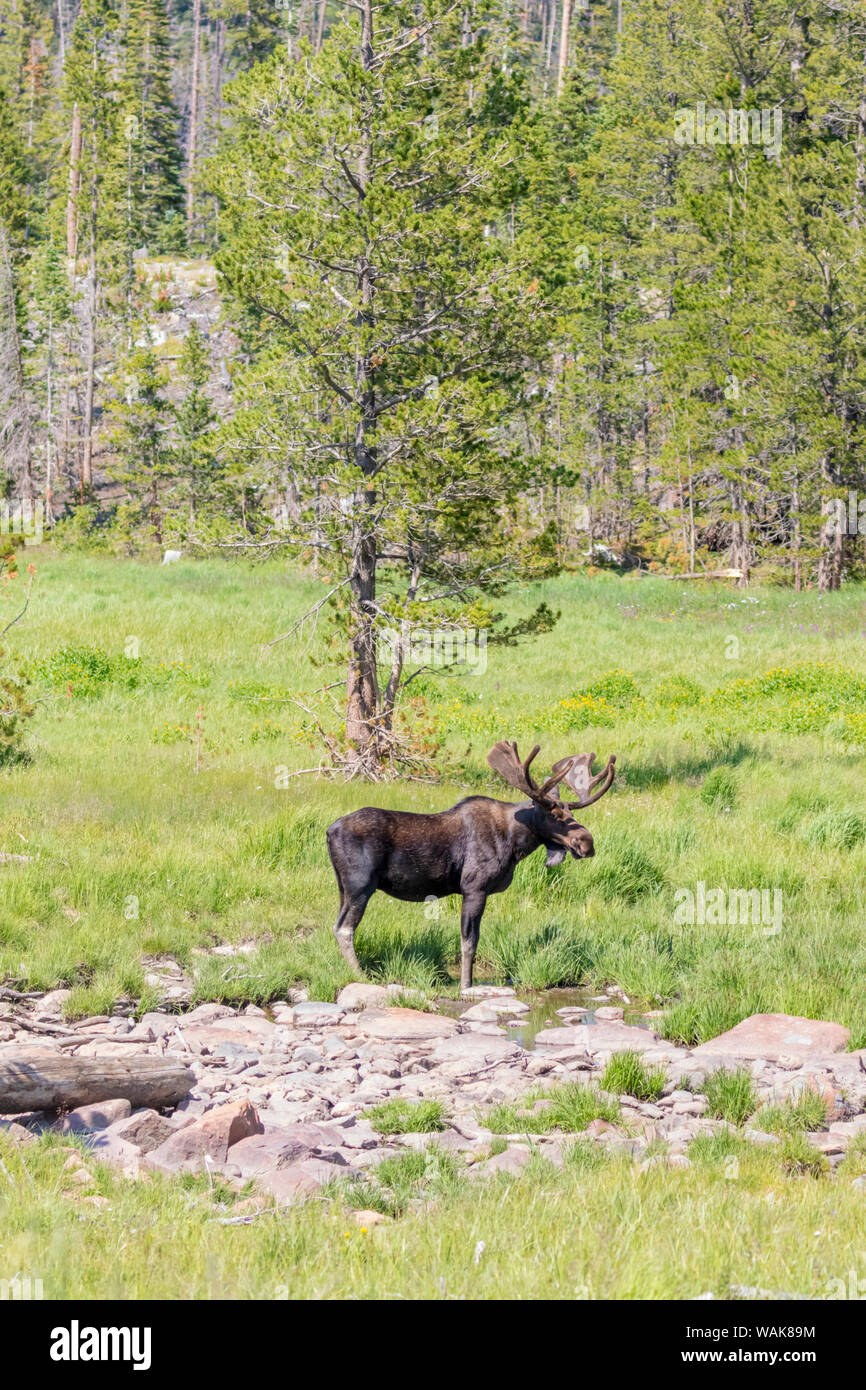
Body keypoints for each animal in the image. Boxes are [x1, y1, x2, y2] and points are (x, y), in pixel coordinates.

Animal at [325, 745, 617, 995]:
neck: (516, 844)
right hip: (361, 885)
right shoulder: (474, 888)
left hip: (343, 887)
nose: (587, 843)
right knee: (344, 928)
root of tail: (329, 831)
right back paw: (361, 975)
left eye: (572, 814)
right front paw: (466, 985)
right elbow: (469, 941)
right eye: (554, 815)